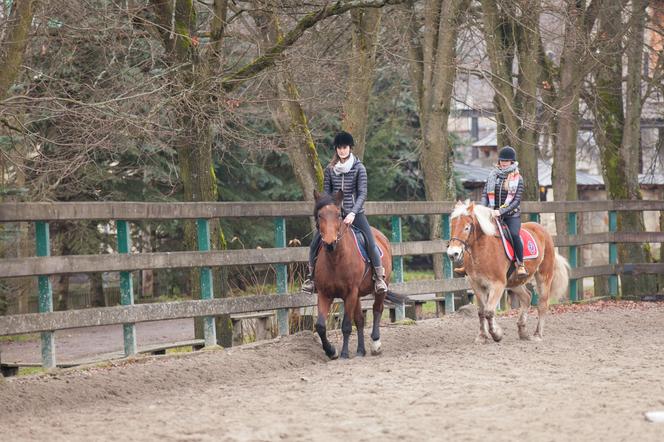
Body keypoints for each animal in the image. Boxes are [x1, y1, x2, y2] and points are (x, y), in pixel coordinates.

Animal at [312, 190, 394, 360]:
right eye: (320, 215)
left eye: (338, 214)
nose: (329, 243)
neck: (336, 259)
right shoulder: (324, 293)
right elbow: (321, 326)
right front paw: (331, 351)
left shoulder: (350, 293)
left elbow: (346, 325)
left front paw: (343, 353)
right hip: (357, 295)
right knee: (360, 320)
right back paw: (360, 350)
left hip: (380, 288)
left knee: (377, 309)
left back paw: (375, 344)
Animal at [446, 200, 572, 342]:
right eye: (452, 226)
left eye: (467, 228)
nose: (453, 254)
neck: (484, 251)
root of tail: (542, 230)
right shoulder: (476, 285)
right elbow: (482, 311)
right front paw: (482, 336)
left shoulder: (498, 284)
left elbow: (489, 311)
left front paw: (496, 334)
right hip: (514, 282)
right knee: (527, 297)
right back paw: (522, 331)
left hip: (544, 276)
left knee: (542, 304)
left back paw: (537, 334)